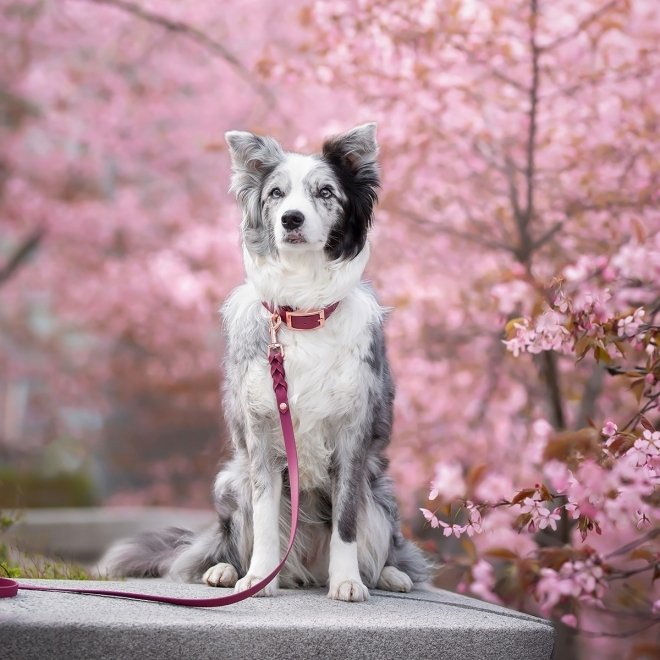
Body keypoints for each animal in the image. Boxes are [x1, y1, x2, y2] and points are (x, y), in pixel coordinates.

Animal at [104, 125, 430, 604]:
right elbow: (264, 517)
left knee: (381, 542)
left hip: (380, 493)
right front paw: (258, 578)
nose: (291, 219)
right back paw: (225, 571)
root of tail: (307, 569)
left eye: (325, 192)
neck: (303, 309)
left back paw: (389, 575)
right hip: (231, 481)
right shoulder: (262, 433)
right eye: (277, 193)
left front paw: (348, 581)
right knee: (227, 540)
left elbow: (346, 522)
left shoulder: (353, 436)